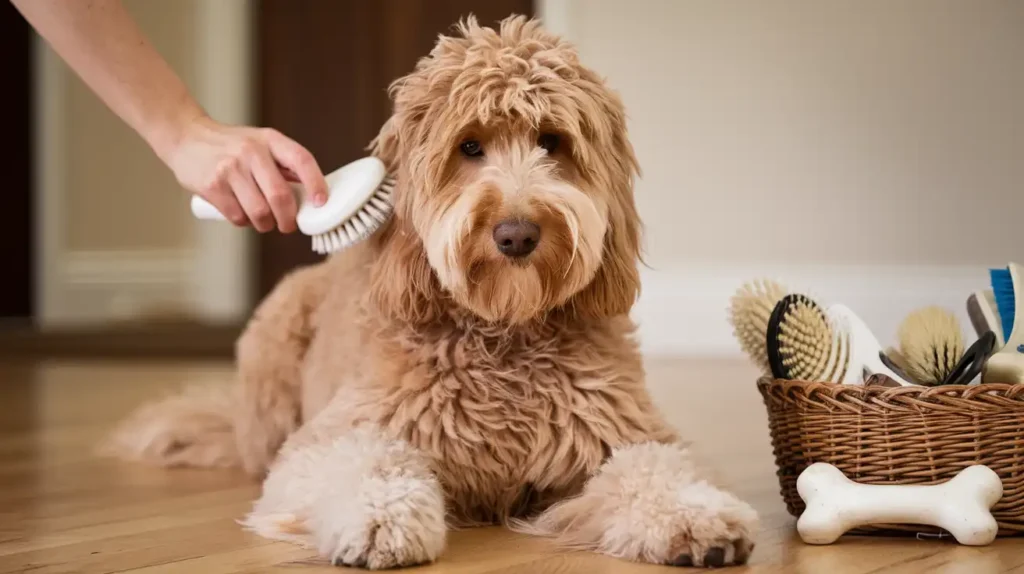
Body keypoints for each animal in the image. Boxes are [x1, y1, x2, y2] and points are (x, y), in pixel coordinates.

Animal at [105, 13, 761, 568]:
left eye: (551, 141)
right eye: (469, 146)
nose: (517, 234)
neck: (503, 337)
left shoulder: (617, 433)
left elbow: (654, 468)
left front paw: (694, 516)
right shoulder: (332, 438)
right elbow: (364, 463)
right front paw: (379, 521)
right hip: (271, 361)